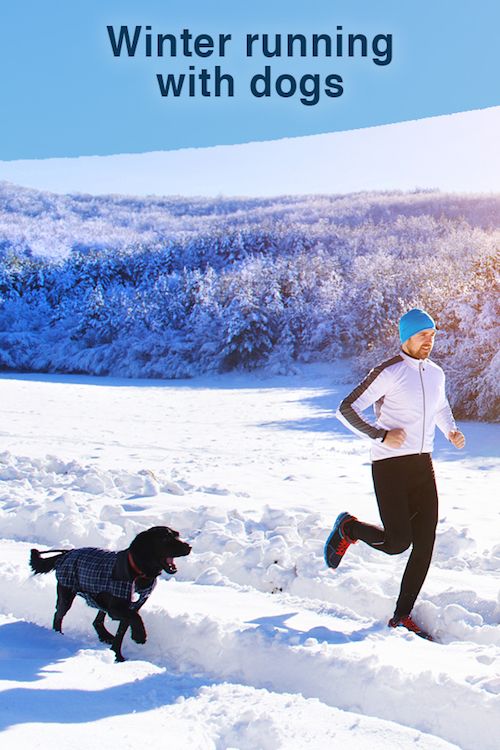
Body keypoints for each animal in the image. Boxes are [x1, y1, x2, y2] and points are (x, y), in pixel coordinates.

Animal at [29, 524, 191, 660]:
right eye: (165, 538)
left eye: (177, 535)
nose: (188, 546)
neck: (141, 572)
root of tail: (67, 553)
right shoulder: (118, 608)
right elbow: (136, 618)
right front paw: (139, 636)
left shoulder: (131, 606)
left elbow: (122, 631)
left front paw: (117, 656)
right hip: (67, 593)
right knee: (58, 615)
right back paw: (58, 635)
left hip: (98, 598)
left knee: (97, 620)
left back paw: (105, 636)